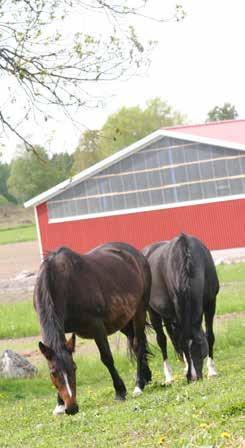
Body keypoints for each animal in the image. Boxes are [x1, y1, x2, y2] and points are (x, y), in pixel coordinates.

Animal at [34, 243, 153, 414]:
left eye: (74, 368)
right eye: (53, 372)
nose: (72, 408)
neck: (63, 284)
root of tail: (135, 253)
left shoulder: (97, 327)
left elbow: (107, 358)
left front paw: (120, 391)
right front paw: (59, 404)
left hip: (139, 311)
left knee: (138, 345)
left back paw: (139, 385)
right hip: (124, 320)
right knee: (136, 341)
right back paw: (146, 376)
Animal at [143, 233, 219, 384]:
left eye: (199, 346)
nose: (193, 378)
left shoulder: (211, 303)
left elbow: (209, 336)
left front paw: (212, 371)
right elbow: (178, 340)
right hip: (153, 312)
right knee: (162, 340)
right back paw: (169, 377)